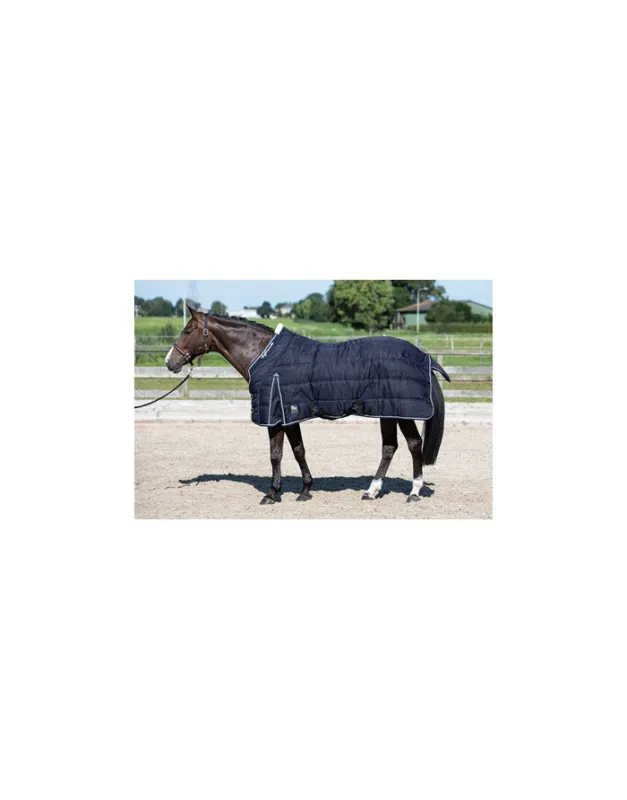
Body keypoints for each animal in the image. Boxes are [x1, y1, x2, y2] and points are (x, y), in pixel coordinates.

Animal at [165, 305, 450, 505]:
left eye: (187, 331)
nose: (170, 362)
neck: (263, 355)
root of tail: (424, 357)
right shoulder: (289, 415)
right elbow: (298, 450)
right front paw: (305, 490)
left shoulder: (275, 415)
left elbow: (276, 454)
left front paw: (272, 494)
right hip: (387, 411)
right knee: (390, 447)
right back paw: (371, 491)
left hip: (402, 412)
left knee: (414, 445)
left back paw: (413, 492)